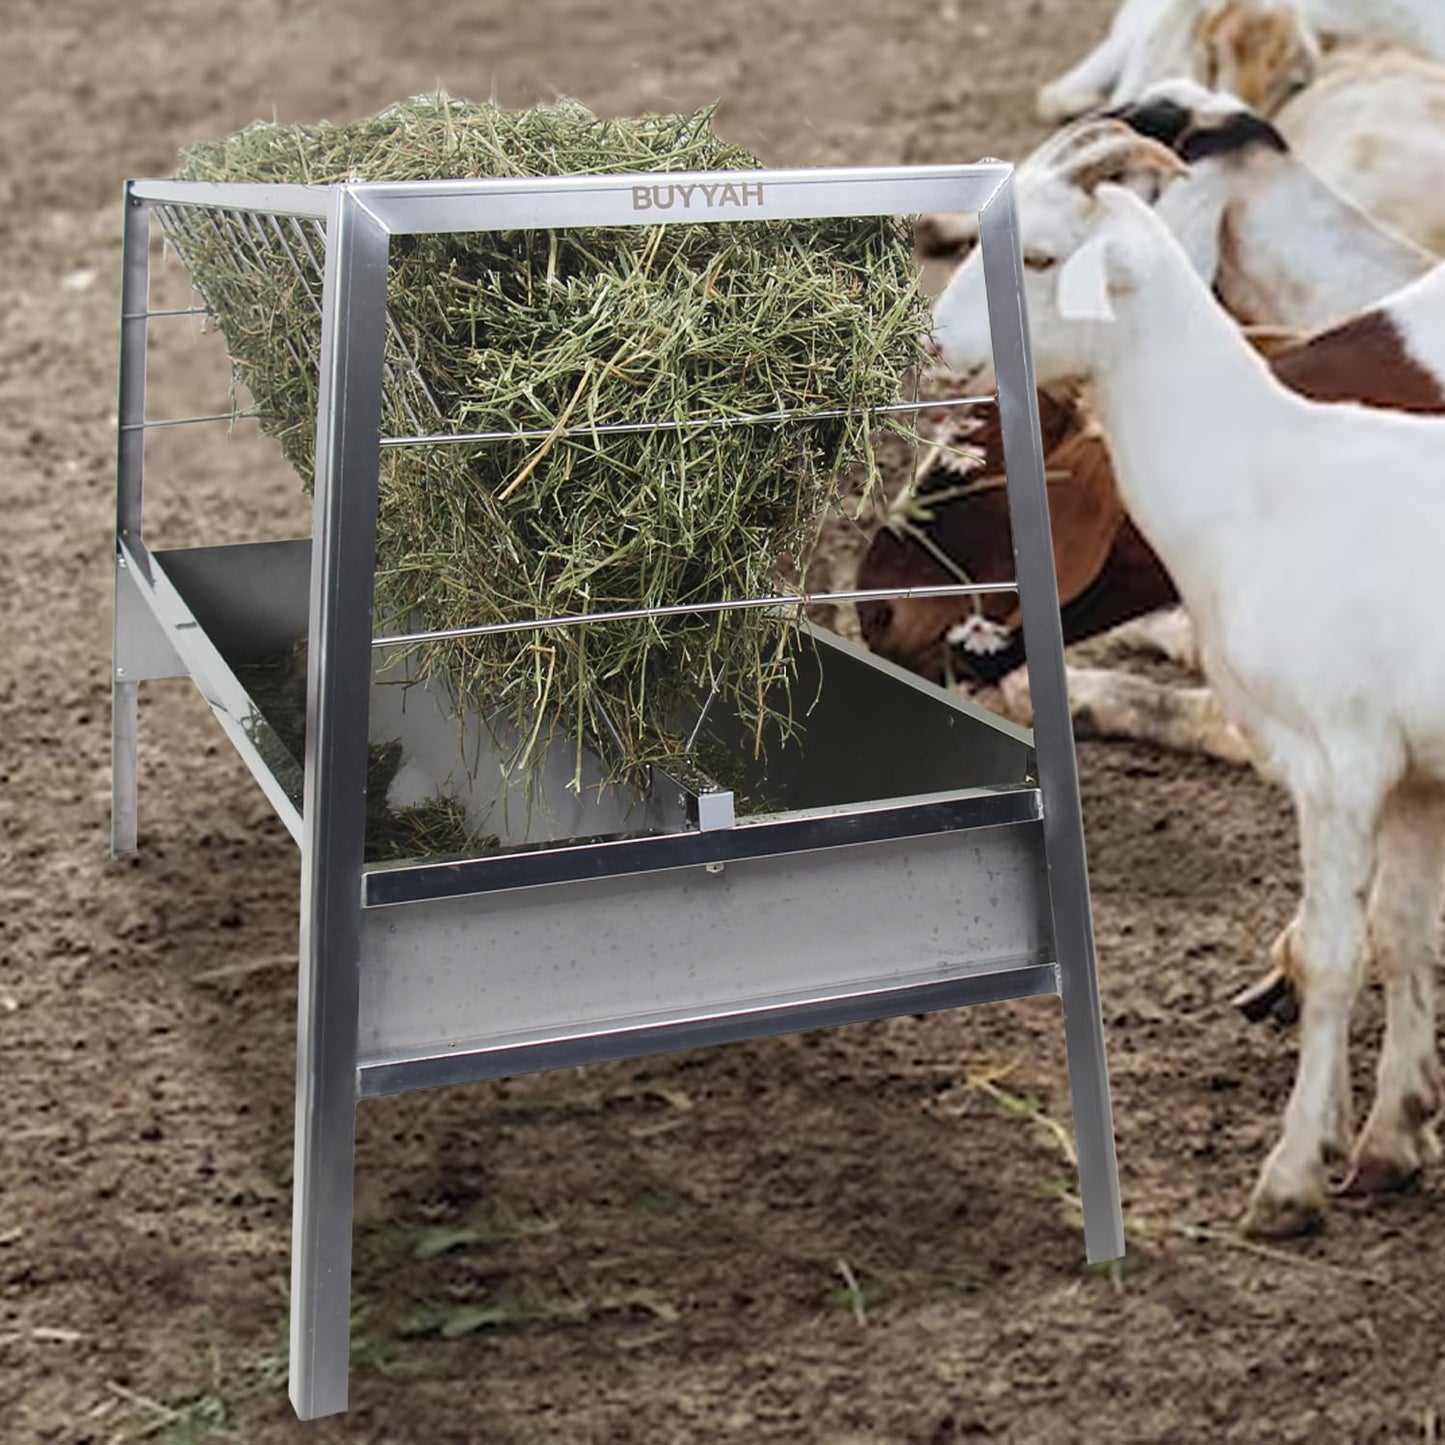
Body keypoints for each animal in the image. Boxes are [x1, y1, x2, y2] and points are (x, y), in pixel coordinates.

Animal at [931, 179, 1445, 1237]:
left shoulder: (1339, 760)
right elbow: (1404, 935)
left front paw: (1290, 1178)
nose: (936, 338)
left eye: (1038, 257)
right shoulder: (1415, 774)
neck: (1260, 481)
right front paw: (1392, 1137)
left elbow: (1332, 953)